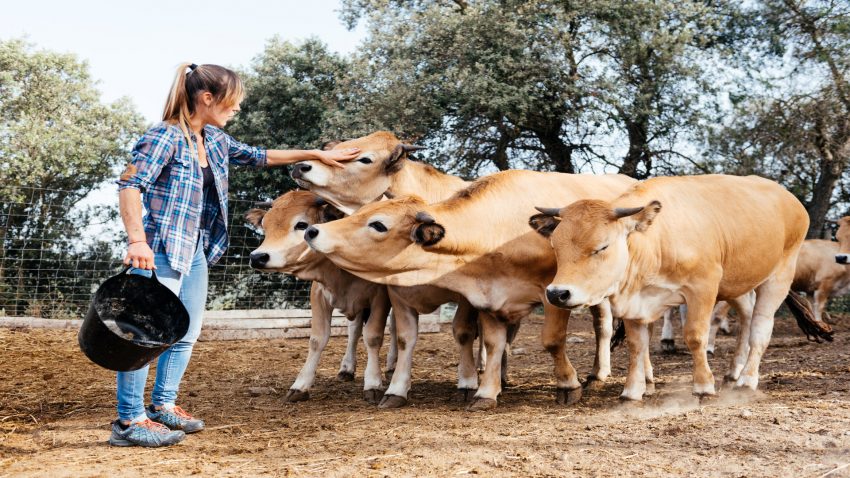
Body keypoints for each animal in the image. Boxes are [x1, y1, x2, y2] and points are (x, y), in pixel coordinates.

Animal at [245, 191, 394, 403]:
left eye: (301, 224)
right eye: (265, 225)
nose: (257, 257)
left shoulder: (380, 296)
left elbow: (373, 337)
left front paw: (373, 382)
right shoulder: (319, 294)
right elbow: (317, 339)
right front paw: (300, 385)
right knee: (354, 330)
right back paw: (347, 368)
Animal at [303, 169, 638, 409]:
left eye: (378, 224)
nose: (313, 230)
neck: (503, 230)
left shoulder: (555, 293)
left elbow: (552, 340)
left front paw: (568, 385)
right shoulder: (487, 298)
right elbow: (493, 343)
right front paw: (486, 392)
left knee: (603, 326)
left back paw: (597, 375)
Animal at [531, 174, 808, 400]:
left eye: (602, 247)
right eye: (555, 247)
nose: (557, 293)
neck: (655, 240)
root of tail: (790, 199)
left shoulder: (703, 287)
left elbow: (695, 337)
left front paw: (704, 387)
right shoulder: (635, 301)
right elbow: (637, 344)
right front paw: (632, 392)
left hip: (779, 275)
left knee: (760, 328)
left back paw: (747, 381)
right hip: (737, 283)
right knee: (747, 315)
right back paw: (734, 373)